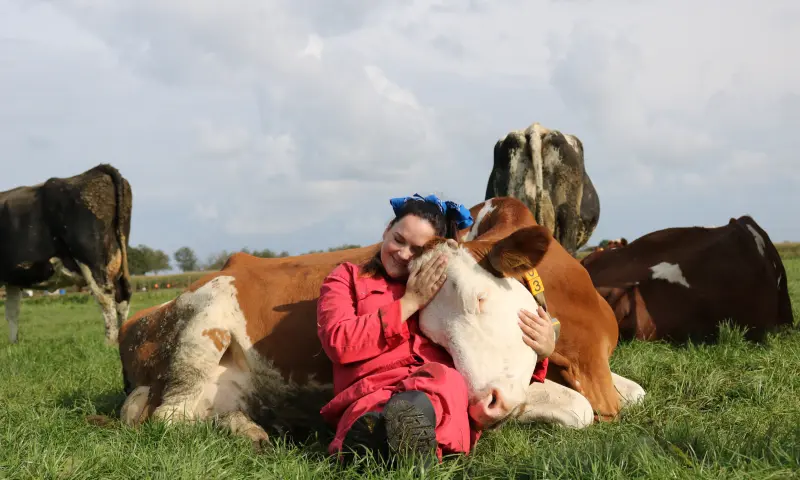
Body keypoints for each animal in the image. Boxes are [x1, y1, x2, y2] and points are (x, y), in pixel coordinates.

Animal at [1, 164, 133, 345]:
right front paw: (14, 344)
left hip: (90, 259)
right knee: (122, 295)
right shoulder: (13, 280)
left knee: (105, 297)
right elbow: (12, 312)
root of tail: (96, 170)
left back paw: (109, 342)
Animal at [116, 197, 644, 449]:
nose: (485, 405)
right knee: (170, 418)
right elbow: (579, 409)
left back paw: (256, 428)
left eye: (478, 298)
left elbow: (635, 393)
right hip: (201, 333)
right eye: (432, 339)